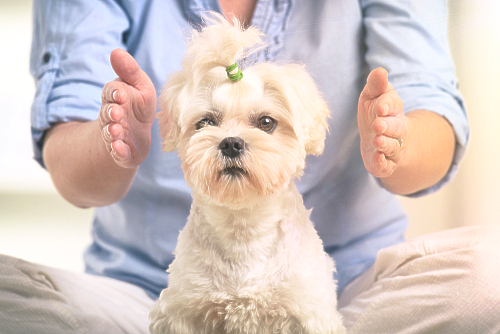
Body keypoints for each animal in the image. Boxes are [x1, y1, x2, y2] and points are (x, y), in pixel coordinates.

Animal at [148, 13, 344, 334]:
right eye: (206, 122)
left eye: (266, 122)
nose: (231, 143)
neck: (243, 231)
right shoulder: (181, 310)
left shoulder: (309, 312)